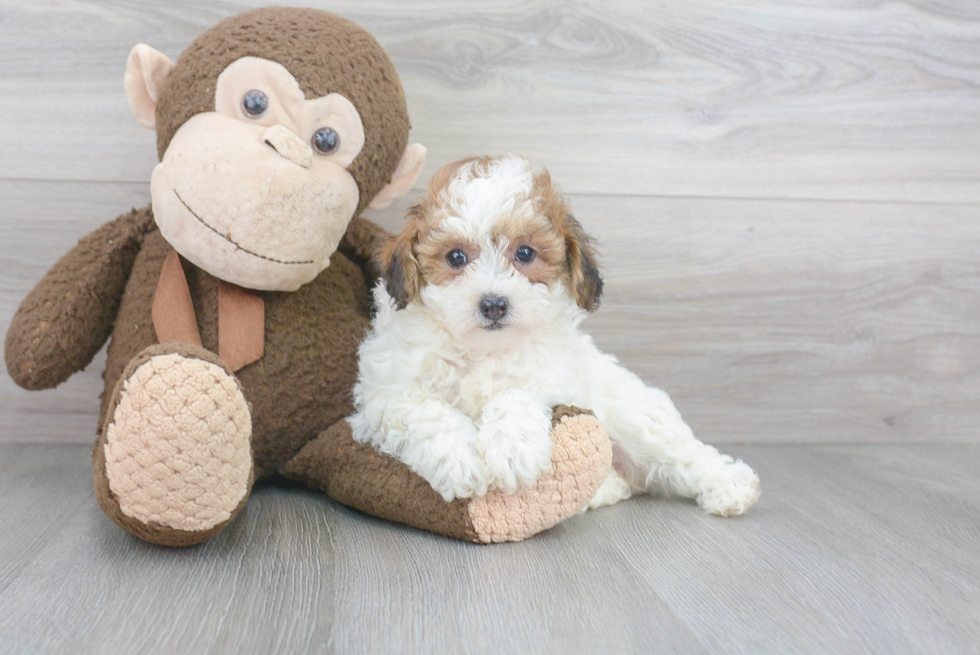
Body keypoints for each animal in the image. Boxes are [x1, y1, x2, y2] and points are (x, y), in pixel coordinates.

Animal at [348, 155, 760, 516]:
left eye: (525, 253)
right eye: (455, 258)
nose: (493, 304)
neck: (484, 351)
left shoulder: (555, 374)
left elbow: (516, 393)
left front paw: (513, 450)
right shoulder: (387, 391)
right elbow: (429, 412)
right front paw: (460, 461)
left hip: (635, 416)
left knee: (683, 454)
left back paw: (731, 486)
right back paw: (606, 489)